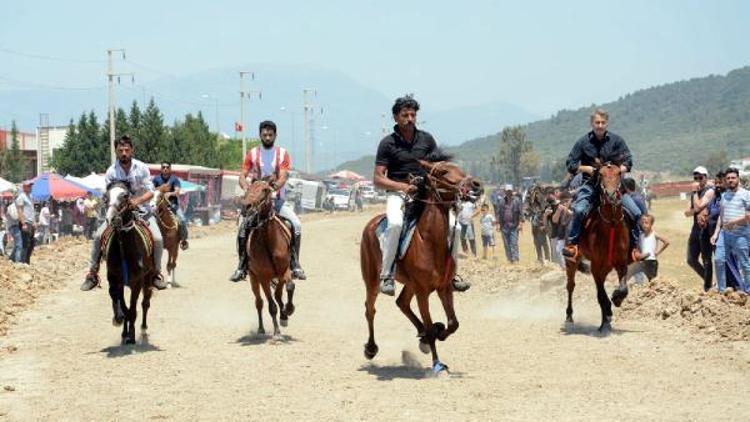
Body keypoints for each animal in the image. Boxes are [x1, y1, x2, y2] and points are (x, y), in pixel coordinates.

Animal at [103, 181, 157, 342]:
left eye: (125, 196)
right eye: (106, 197)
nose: (112, 219)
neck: (124, 249)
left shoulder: (137, 282)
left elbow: (133, 308)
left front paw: (131, 335)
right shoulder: (116, 279)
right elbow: (122, 304)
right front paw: (121, 324)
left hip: (148, 278)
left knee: (145, 303)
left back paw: (143, 330)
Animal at [244, 180, 296, 338]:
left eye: (265, 189)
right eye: (248, 188)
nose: (247, 207)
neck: (269, 242)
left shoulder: (285, 269)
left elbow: (289, 287)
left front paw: (288, 311)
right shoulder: (263, 277)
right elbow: (271, 304)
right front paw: (277, 331)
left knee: (278, 294)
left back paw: (284, 315)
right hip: (253, 278)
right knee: (259, 302)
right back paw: (261, 329)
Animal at [362, 160, 484, 374]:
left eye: (459, 168)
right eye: (443, 172)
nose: (475, 184)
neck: (429, 240)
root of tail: (370, 225)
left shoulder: (444, 288)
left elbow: (453, 323)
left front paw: (439, 331)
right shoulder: (423, 291)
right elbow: (429, 324)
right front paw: (437, 363)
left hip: (410, 284)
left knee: (402, 303)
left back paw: (423, 337)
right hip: (372, 280)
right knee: (370, 309)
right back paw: (371, 348)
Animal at [568, 163, 632, 332]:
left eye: (619, 173)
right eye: (601, 174)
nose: (611, 196)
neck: (611, 225)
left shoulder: (621, 263)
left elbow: (623, 288)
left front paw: (617, 298)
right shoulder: (596, 267)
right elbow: (601, 296)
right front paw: (608, 313)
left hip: (606, 267)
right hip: (572, 261)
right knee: (570, 286)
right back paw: (570, 316)